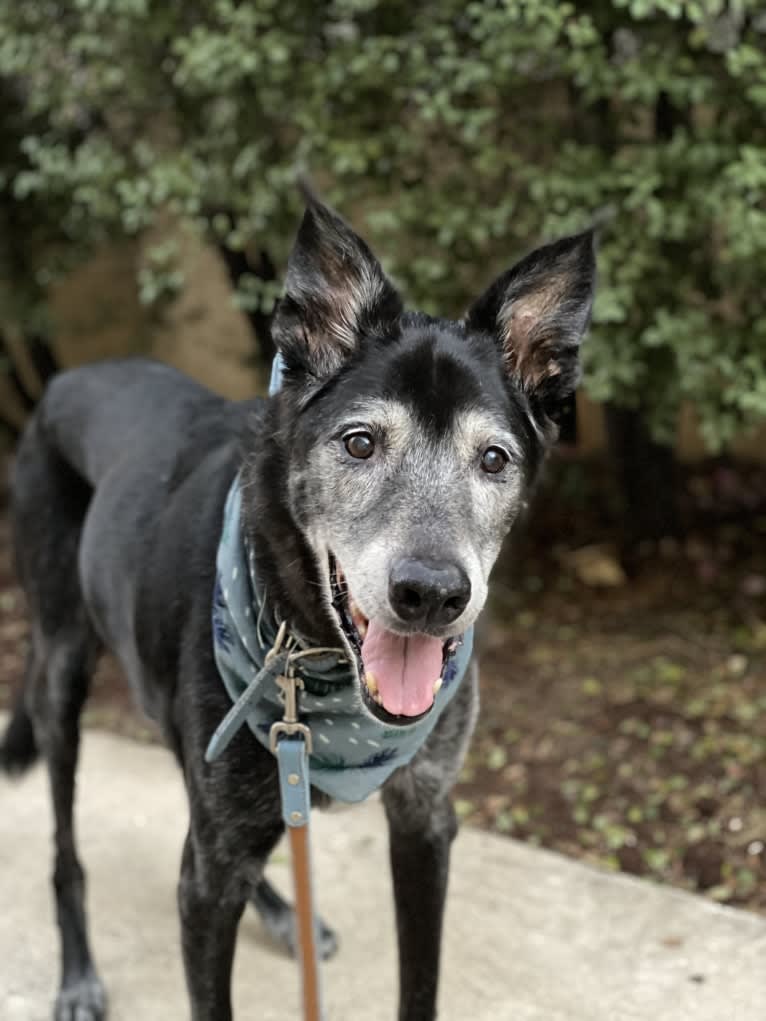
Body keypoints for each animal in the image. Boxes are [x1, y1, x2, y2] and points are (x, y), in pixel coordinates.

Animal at [0, 192, 596, 1021]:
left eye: (493, 459)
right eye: (360, 443)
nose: (432, 595)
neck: (317, 653)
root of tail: (62, 380)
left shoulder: (425, 821)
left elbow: (419, 984)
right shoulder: (206, 887)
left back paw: (282, 910)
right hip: (61, 672)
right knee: (66, 850)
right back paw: (79, 972)